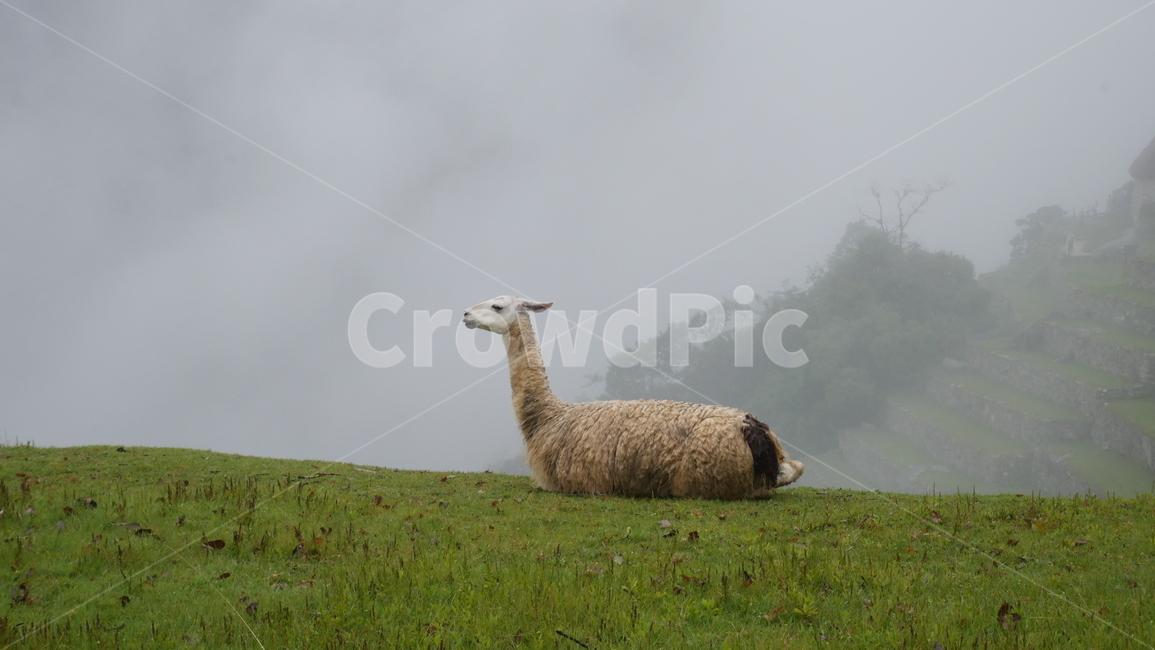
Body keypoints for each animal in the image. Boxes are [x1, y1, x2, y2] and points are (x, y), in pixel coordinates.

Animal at [462, 295, 805, 499]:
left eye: (497, 306)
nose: (465, 314)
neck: (548, 417)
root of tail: (751, 427)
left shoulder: (571, 483)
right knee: (795, 468)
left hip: (706, 479)